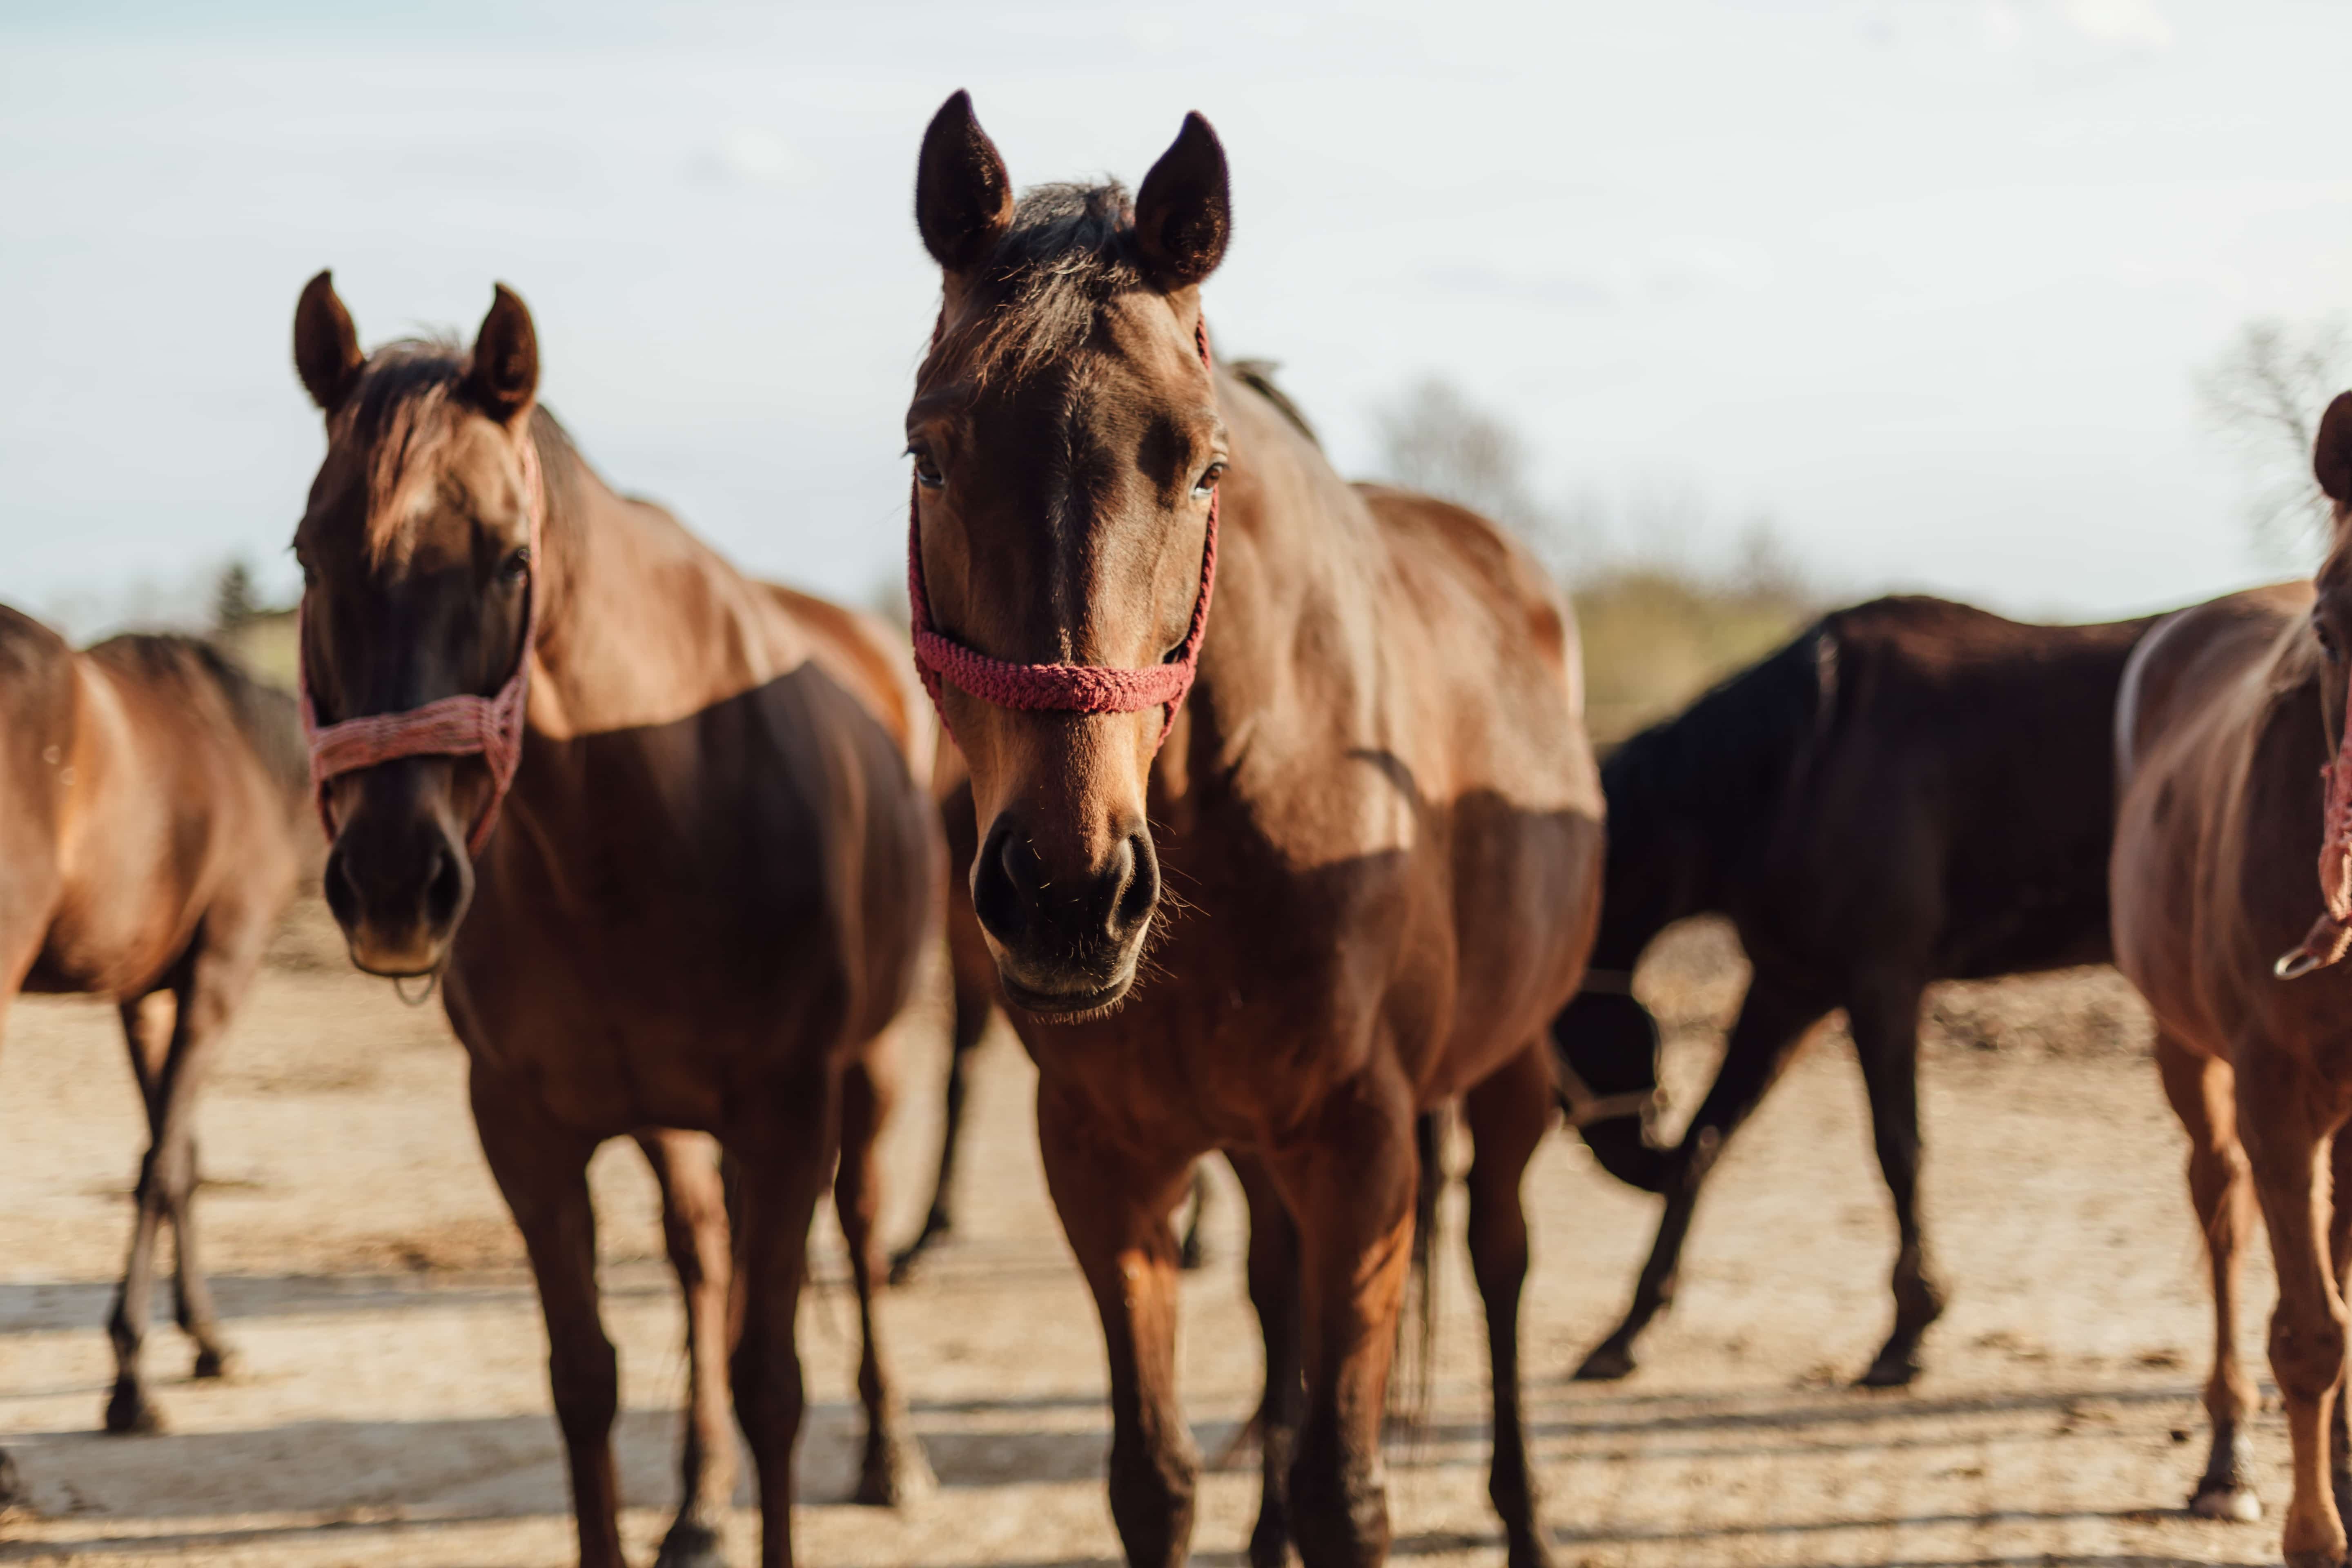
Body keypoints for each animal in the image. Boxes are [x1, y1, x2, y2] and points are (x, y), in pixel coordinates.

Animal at [0, 616, 313, 1495]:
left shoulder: (143, 993)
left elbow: (179, 1159)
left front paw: (207, 1341)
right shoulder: (220, 975)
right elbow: (160, 1165)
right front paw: (131, 1386)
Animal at [282, 278, 927, 1568]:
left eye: (510, 560)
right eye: (308, 555)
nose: (392, 880)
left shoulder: (788, 1110)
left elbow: (772, 1380)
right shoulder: (525, 1128)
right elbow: (584, 1378)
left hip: (869, 1073)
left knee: (862, 1232)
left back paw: (890, 1455)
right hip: (667, 1121)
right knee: (702, 1253)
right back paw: (699, 1500)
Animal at [898, 98, 1599, 1568]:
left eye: (1201, 462)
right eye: (930, 449)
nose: (1068, 893)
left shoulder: (1363, 1151)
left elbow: (1347, 1488)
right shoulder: (1108, 1161)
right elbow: (1155, 1478)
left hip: (1508, 1070)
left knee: (1501, 1265)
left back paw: (1523, 1516)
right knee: (1280, 1303)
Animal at [1552, 597, 2154, 1382]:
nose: (1638, 1162)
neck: (1803, 759)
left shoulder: (1882, 984)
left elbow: (1898, 1148)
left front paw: (1908, 1330)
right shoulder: (1790, 989)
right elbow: (1710, 1139)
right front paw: (1627, 1329)